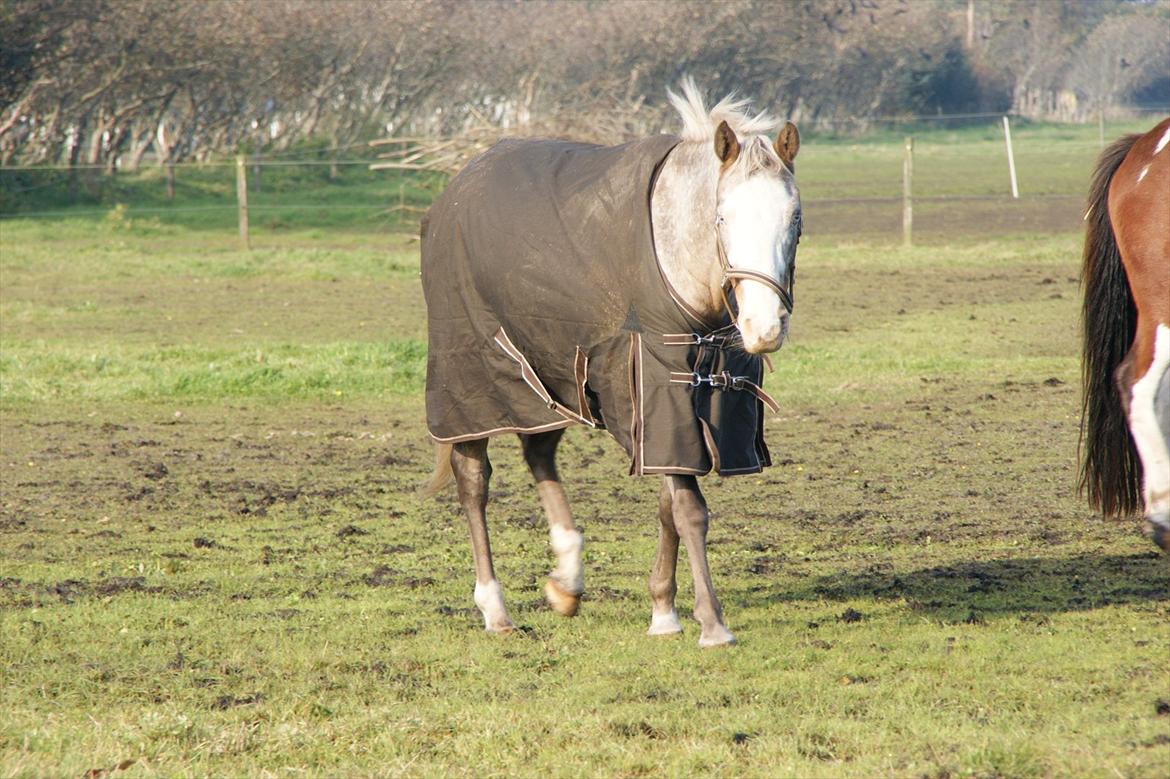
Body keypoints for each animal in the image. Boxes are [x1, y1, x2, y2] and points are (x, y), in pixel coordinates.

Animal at [416, 78, 800, 640]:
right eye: (722, 217)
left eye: (795, 218)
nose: (764, 329)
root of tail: (453, 192)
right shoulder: (654, 391)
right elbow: (689, 509)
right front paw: (711, 623)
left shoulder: (686, 405)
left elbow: (668, 505)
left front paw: (663, 609)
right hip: (473, 383)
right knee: (473, 481)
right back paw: (495, 608)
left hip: (553, 375)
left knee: (539, 455)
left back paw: (566, 582)